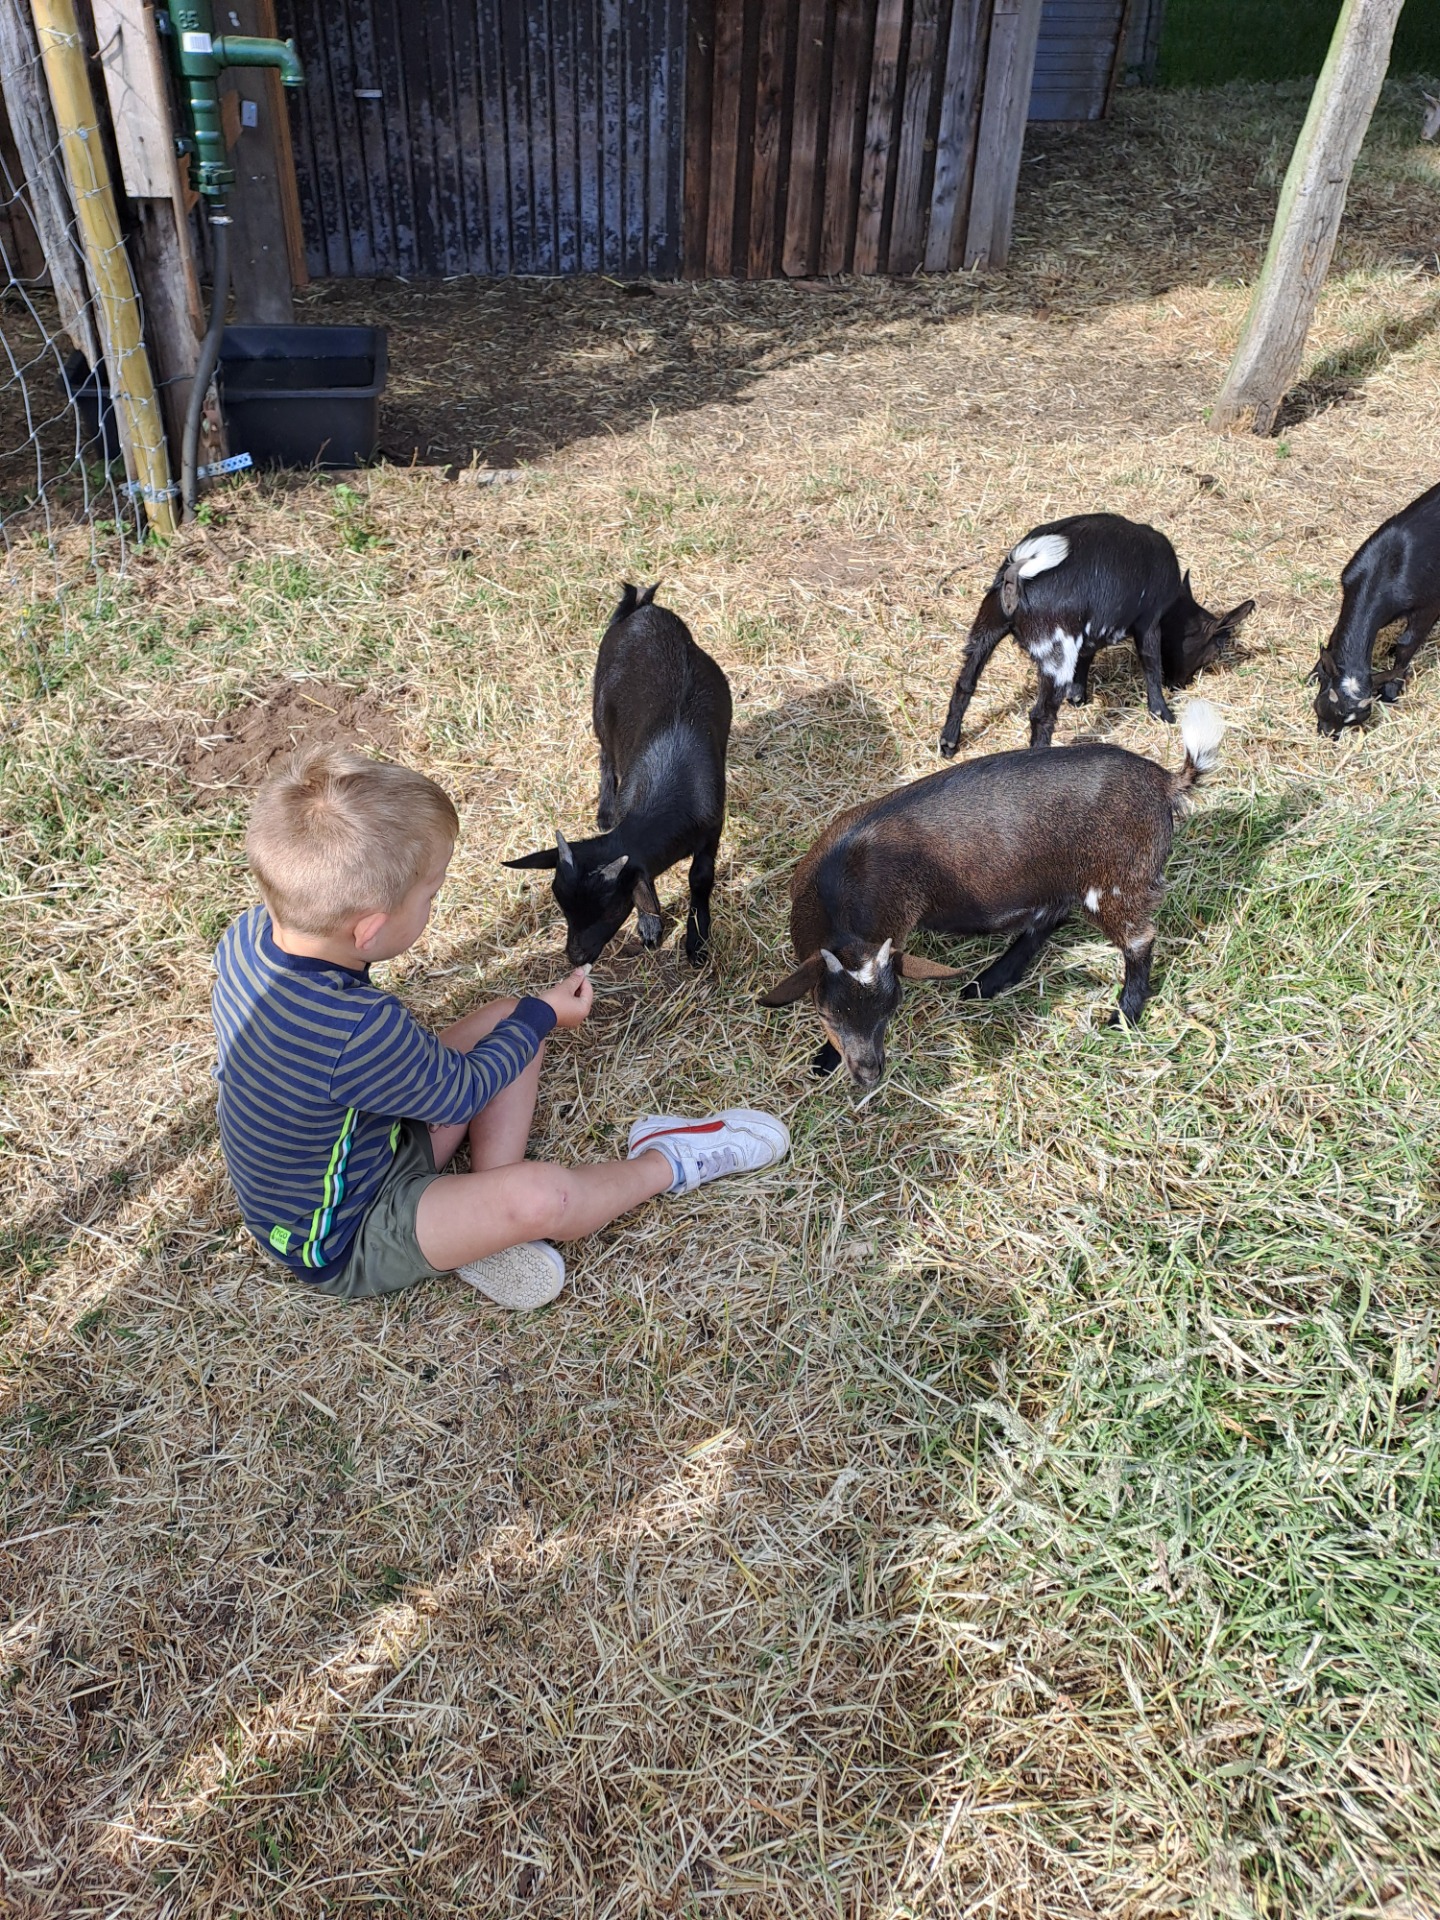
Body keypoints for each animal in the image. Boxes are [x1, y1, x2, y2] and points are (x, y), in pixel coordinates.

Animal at [504, 584, 732, 967]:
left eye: (611, 911)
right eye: (562, 907)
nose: (576, 957)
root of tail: (643, 609)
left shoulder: (713, 824)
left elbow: (701, 878)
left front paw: (697, 939)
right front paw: (651, 927)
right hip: (599, 704)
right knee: (605, 753)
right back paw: (604, 812)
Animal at [759, 701, 1225, 1088]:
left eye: (893, 1008)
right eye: (826, 1012)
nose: (869, 1072)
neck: (843, 876)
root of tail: (1165, 782)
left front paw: (824, 1060)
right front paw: (824, 1059)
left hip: (1118, 880)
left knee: (1139, 939)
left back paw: (1122, 1016)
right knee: (1051, 917)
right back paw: (988, 982)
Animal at [937, 513, 1253, 753]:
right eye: (1216, 648)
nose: (1180, 685)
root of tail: (1019, 572)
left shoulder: (1091, 629)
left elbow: (1087, 658)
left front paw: (1079, 698)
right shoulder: (1149, 622)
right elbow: (1151, 664)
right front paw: (1163, 713)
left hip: (986, 628)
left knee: (965, 683)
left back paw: (949, 743)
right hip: (1056, 651)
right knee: (1041, 715)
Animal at [1311, 479, 1440, 736]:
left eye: (1357, 719)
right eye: (1325, 704)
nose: (1329, 734)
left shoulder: (1428, 606)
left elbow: (1407, 645)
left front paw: (1391, 690)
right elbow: (1335, 633)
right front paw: (1314, 672)